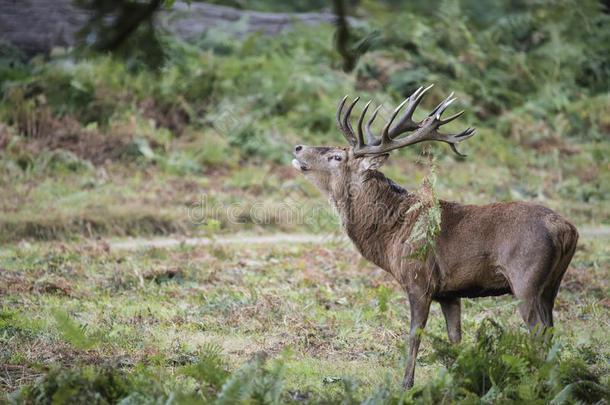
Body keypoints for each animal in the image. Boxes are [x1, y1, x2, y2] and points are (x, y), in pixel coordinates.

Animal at [292, 84, 576, 388]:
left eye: (337, 156)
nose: (298, 147)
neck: (392, 235)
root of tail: (566, 229)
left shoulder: (419, 279)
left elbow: (415, 334)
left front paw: (406, 384)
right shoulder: (449, 292)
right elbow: (455, 338)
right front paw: (461, 379)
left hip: (526, 278)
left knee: (539, 333)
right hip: (551, 284)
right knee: (551, 331)